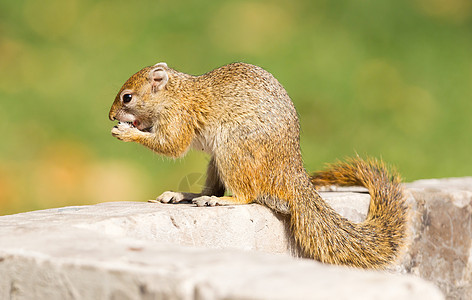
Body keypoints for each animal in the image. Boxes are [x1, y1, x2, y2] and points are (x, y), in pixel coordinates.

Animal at [109, 62, 408, 268]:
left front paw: (126, 133)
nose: (111, 116)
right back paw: (186, 195)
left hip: (233, 150)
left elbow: (172, 145)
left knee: (247, 195)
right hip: (218, 161)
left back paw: (221, 201)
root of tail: (291, 174)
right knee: (215, 188)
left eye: (127, 97)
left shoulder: (178, 117)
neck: (174, 94)